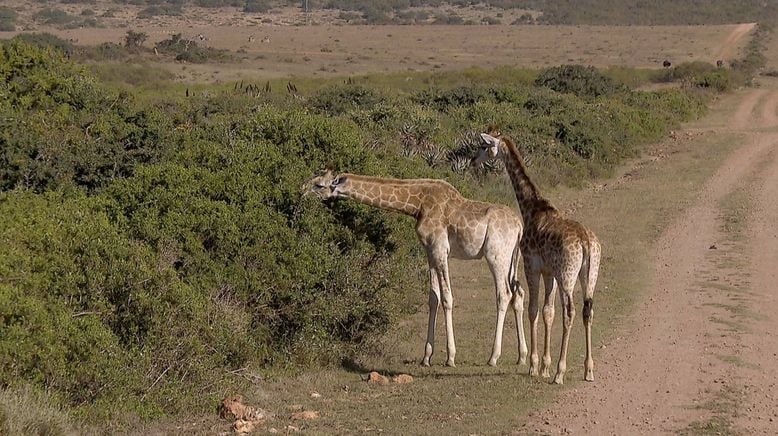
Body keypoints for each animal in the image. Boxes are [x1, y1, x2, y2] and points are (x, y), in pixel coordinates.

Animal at [304, 170, 528, 368]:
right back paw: (522, 356)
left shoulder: (440, 248)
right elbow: (433, 298)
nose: (301, 193)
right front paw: (426, 357)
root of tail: (519, 226)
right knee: (519, 293)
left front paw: (450, 357)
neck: (417, 205)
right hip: (512, 258)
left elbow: (447, 298)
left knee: (504, 294)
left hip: (496, 255)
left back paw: (493, 357)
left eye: (319, 184)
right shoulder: (429, 251)